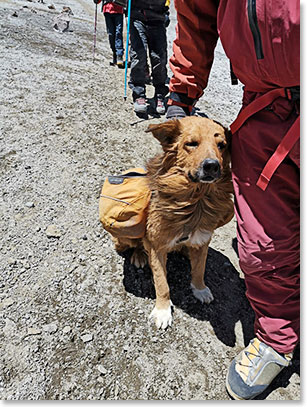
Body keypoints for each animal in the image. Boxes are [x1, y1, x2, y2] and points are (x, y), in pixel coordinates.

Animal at [113, 116, 233, 330]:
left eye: (222, 145)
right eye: (191, 144)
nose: (212, 166)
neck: (196, 202)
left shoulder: (203, 241)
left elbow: (200, 269)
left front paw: (200, 289)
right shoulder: (157, 246)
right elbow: (162, 283)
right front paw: (162, 311)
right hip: (125, 234)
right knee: (135, 243)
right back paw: (139, 256)